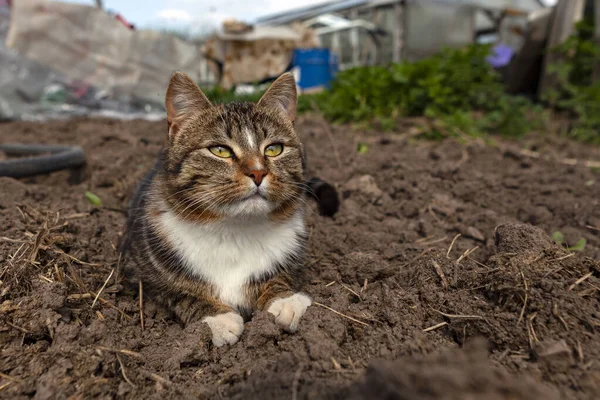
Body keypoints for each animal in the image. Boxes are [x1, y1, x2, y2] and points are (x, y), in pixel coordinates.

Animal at [119, 72, 340, 346]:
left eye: (274, 149)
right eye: (220, 150)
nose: (258, 172)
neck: (236, 229)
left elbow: (282, 275)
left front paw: (285, 300)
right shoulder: (136, 269)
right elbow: (176, 290)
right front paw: (218, 318)